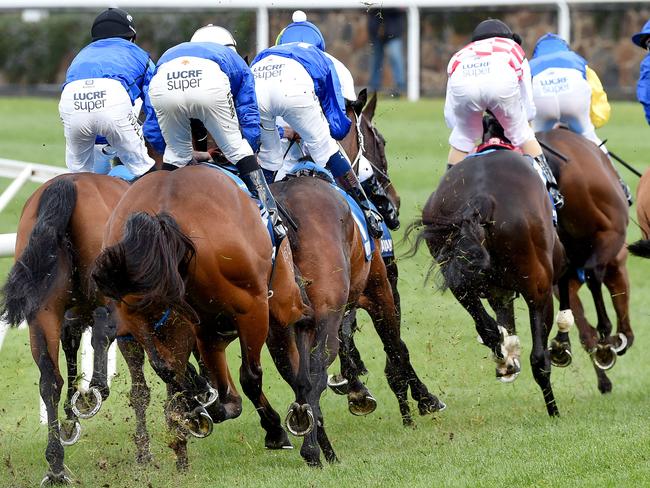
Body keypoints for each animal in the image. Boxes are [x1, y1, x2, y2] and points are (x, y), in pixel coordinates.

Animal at [0, 173, 128, 486]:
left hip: (42, 311)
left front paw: (71, 415)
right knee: (103, 327)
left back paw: (56, 465)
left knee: (49, 381)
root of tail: (67, 183)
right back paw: (95, 391)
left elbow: (70, 352)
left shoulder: (70, 314)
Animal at [90, 164, 308, 468]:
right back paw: (270, 426)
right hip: (254, 308)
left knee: (167, 367)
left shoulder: (199, 330)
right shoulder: (273, 308)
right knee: (250, 374)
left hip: (142, 315)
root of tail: (164, 212)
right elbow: (281, 368)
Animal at [408, 149, 568, 416]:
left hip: (457, 280)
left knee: (488, 327)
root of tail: (480, 198)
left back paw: (505, 360)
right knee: (539, 358)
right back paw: (554, 411)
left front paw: (508, 354)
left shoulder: (496, 292)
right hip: (538, 288)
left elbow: (499, 324)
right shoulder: (556, 267)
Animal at [536, 129, 632, 392]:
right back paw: (606, 338)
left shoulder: (562, 276)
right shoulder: (616, 259)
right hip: (610, 234)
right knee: (593, 275)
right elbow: (617, 298)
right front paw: (616, 340)